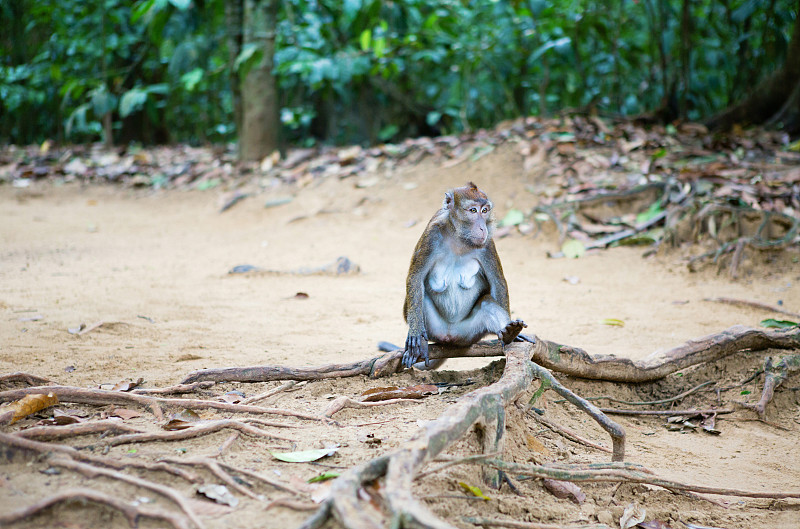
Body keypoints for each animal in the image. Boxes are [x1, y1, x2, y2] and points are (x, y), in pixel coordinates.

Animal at [400, 182, 524, 368]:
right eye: (473, 210)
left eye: (485, 210)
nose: (482, 227)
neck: (458, 237)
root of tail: (450, 337)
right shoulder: (431, 236)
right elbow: (415, 278)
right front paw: (415, 334)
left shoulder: (487, 245)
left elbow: (498, 282)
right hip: (435, 329)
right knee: (421, 298)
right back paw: (422, 342)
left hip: (469, 333)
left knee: (487, 303)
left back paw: (510, 333)